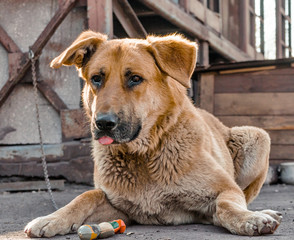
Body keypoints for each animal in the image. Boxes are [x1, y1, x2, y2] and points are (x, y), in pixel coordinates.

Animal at [24, 31, 282, 237]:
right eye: (96, 79)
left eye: (135, 79)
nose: (103, 123)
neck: (145, 154)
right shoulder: (118, 208)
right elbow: (87, 195)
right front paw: (53, 218)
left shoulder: (226, 189)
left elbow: (227, 205)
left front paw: (248, 218)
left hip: (258, 137)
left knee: (244, 198)